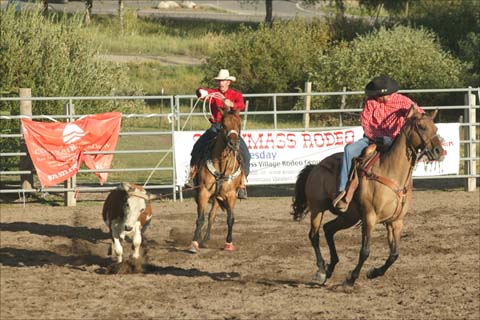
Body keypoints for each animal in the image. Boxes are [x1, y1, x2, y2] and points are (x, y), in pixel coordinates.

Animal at [188, 106, 244, 254]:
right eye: (223, 125)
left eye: (239, 125)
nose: (233, 143)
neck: (222, 164)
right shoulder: (203, 192)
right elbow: (200, 218)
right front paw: (194, 244)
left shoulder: (230, 195)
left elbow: (230, 219)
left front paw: (228, 243)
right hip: (201, 195)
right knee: (201, 215)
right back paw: (199, 238)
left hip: (218, 198)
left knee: (212, 215)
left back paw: (206, 240)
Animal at [290, 105, 444, 288]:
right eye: (421, 127)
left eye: (436, 128)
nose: (439, 151)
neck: (392, 173)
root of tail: (315, 167)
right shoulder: (369, 217)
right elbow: (365, 251)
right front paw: (351, 279)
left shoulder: (396, 221)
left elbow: (394, 254)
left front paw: (373, 272)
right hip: (317, 208)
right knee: (314, 235)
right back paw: (321, 270)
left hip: (349, 216)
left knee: (328, 229)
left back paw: (330, 268)